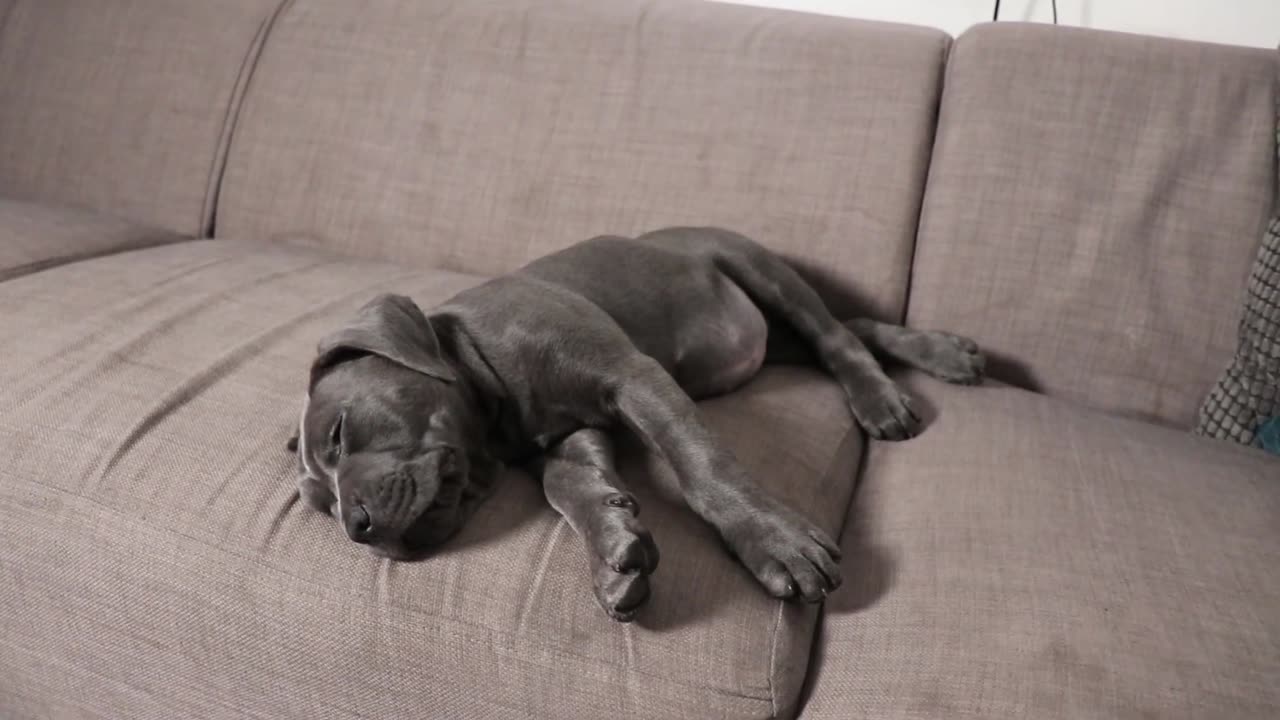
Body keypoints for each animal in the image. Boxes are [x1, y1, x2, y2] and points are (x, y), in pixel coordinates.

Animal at [290, 226, 983, 620]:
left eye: (339, 433)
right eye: (320, 507)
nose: (357, 529)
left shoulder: (632, 375)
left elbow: (701, 465)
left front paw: (773, 541)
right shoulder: (570, 438)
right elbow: (568, 488)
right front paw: (612, 551)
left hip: (761, 269)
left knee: (838, 337)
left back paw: (886, 395)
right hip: (775, 335)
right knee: (852, 329)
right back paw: (944, 353)